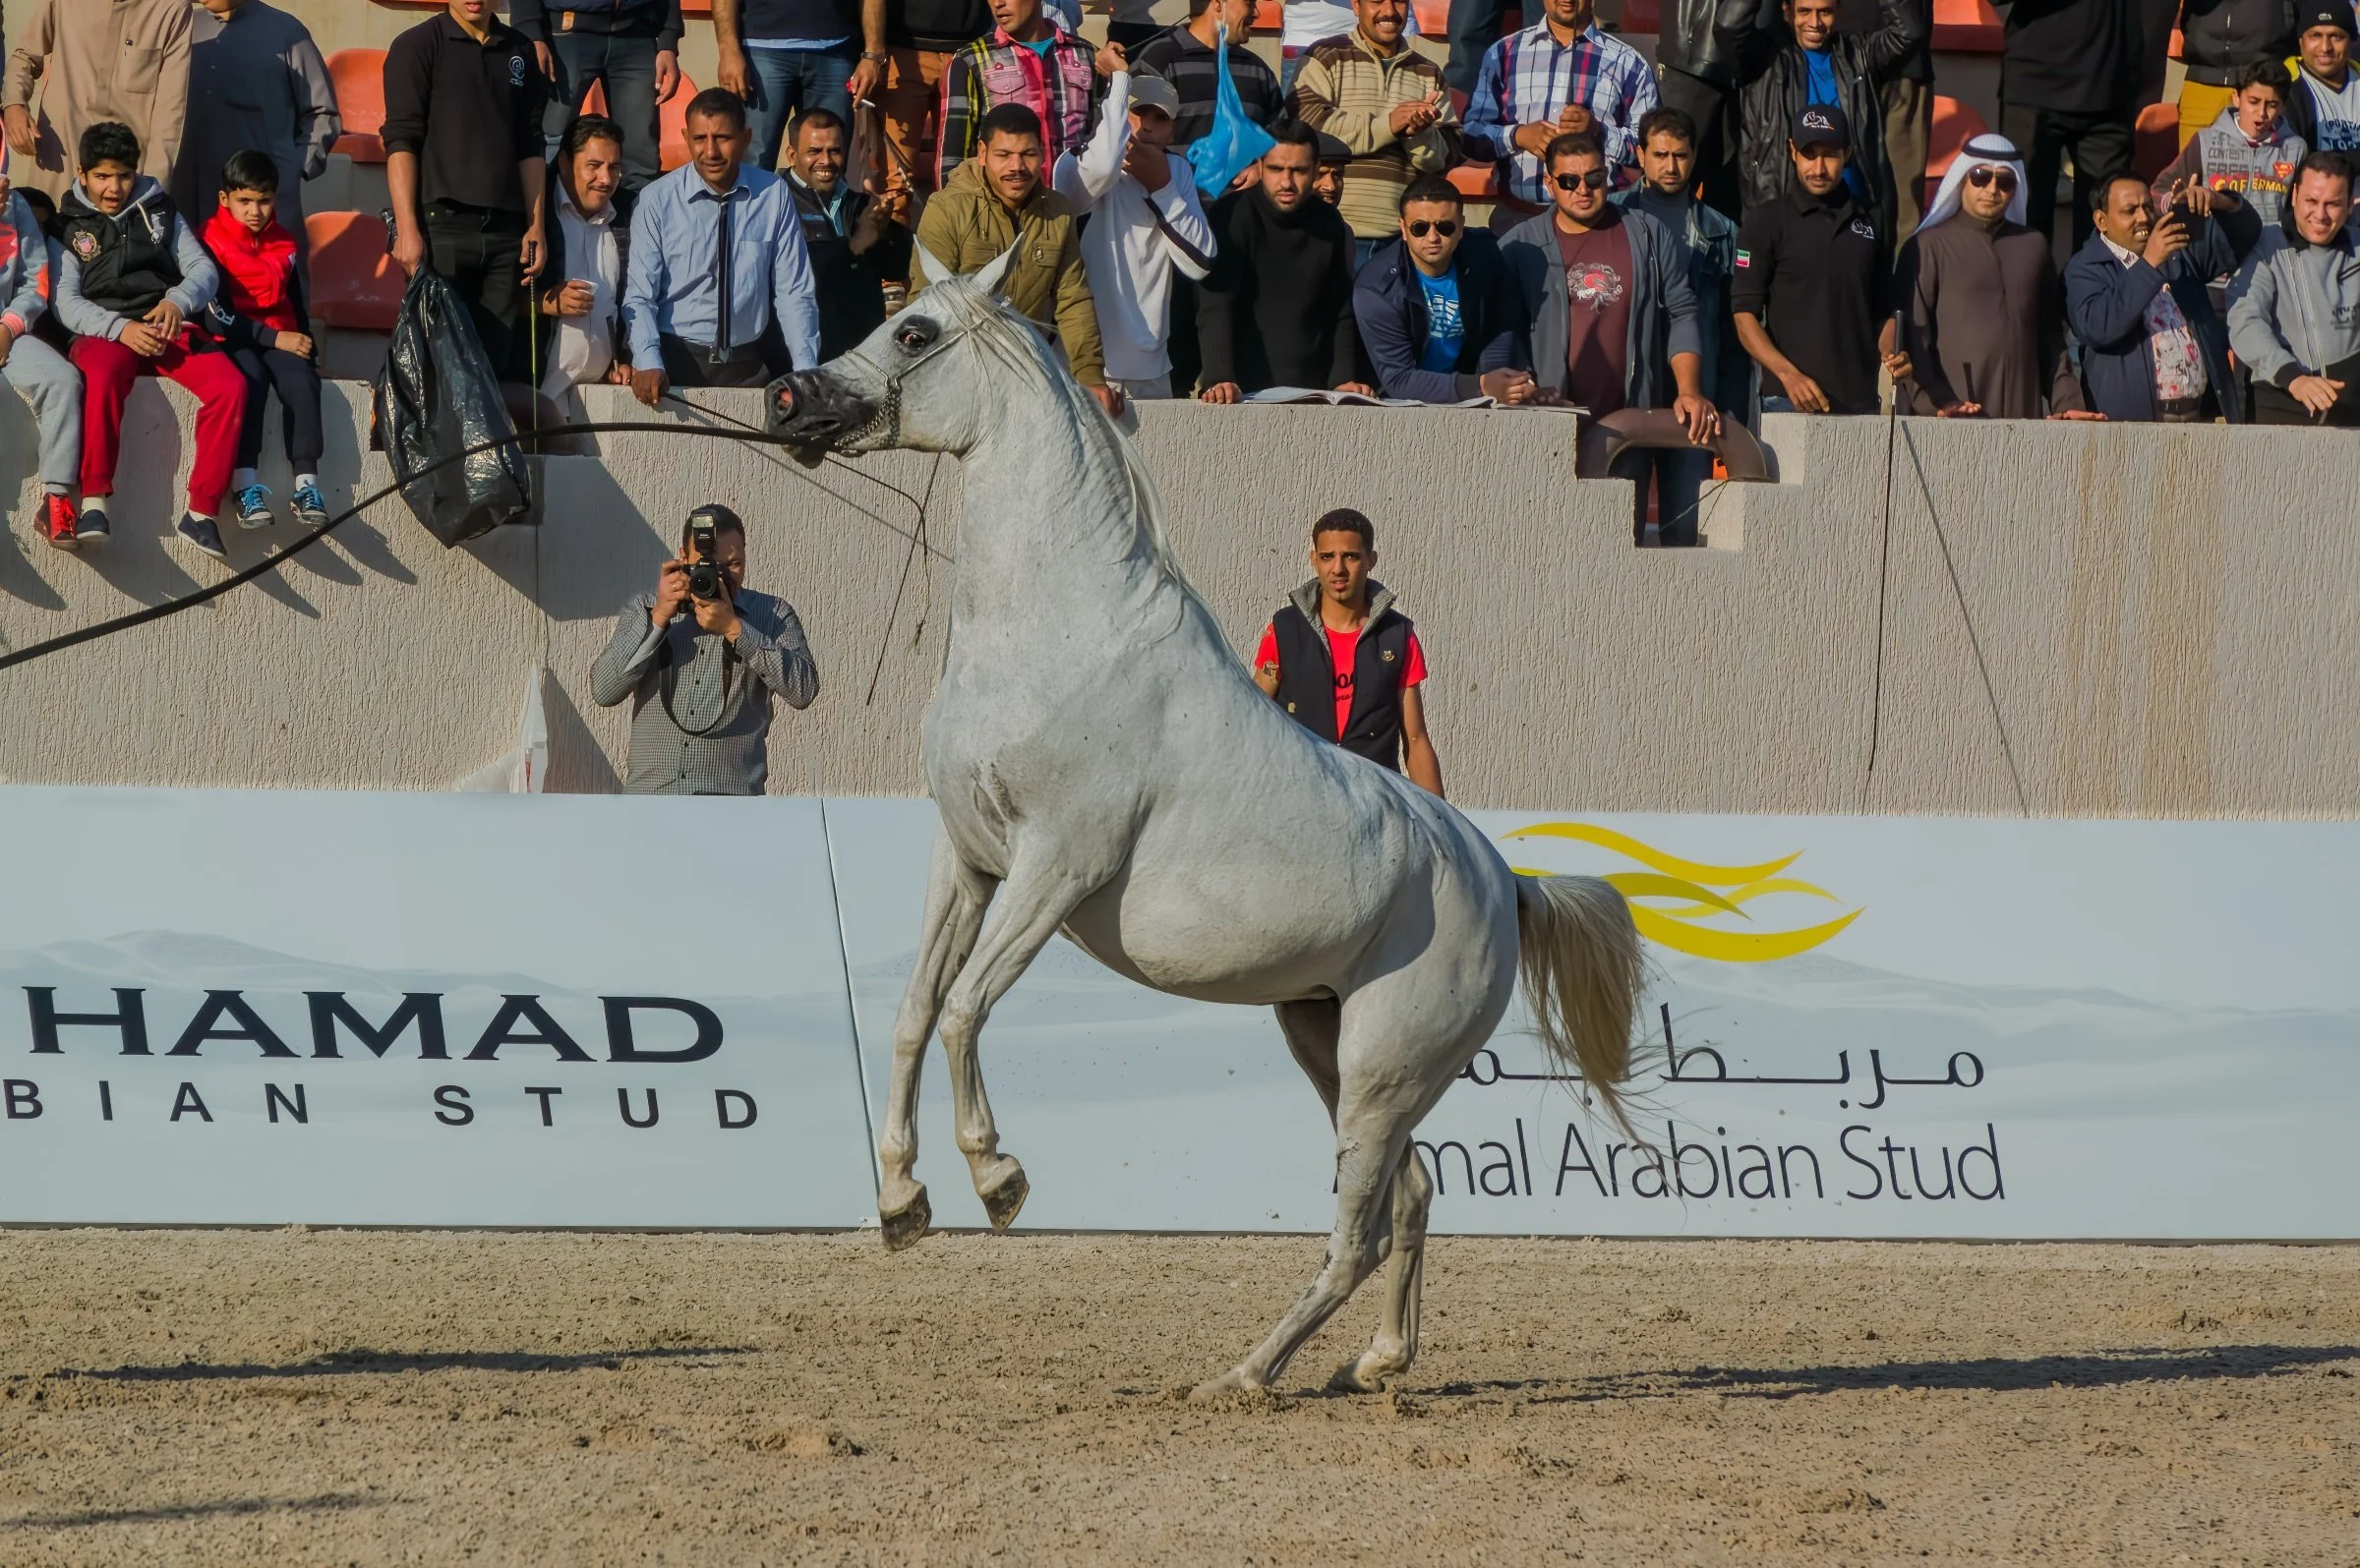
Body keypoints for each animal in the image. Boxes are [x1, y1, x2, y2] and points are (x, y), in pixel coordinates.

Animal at [769, 247, 1643, 1398]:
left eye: (914, 333)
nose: (790, 399)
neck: (1058, 637)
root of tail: (1506, 883)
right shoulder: (966, 859)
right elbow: (915, 1013)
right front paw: (902, 1203)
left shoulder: (1055, 865)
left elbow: (962, 1009)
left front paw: (998, 1179)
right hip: (1330, 1043)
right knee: (1410, 1197)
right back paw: (1376, 1362)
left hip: (1383, 1068)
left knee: (1357, 1229)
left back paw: (1244, 1375)